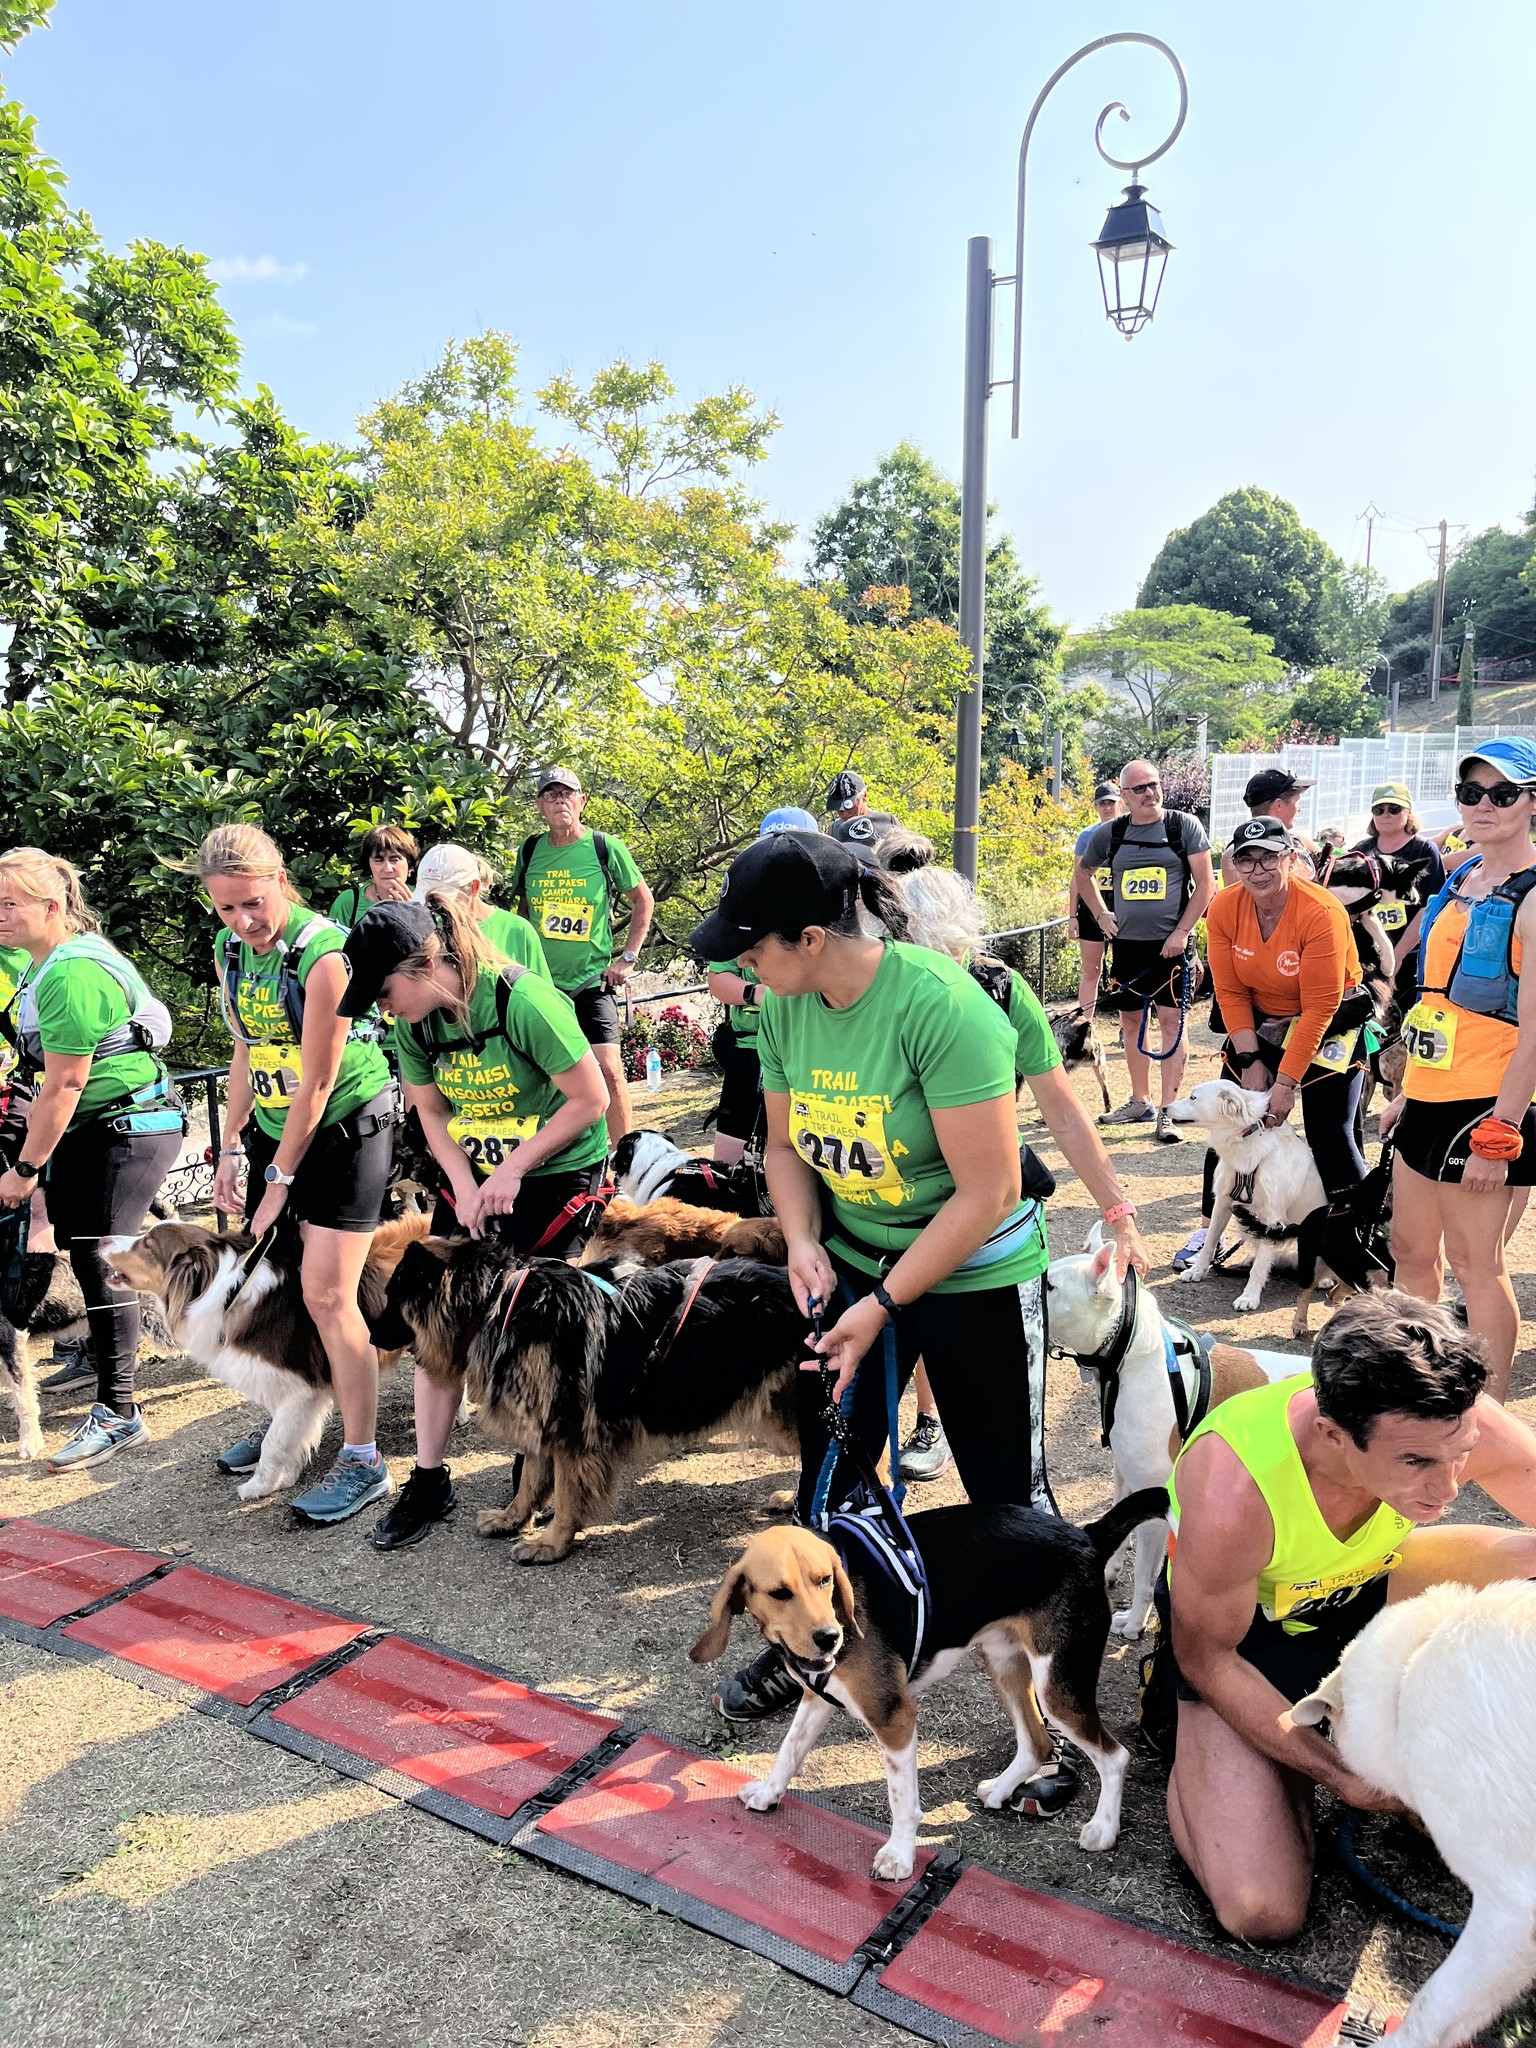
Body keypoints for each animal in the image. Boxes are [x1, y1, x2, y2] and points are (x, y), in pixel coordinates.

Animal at [378, 1228, 811, 1564]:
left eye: (392, 1298)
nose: (371, 1337)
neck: (498, 1300)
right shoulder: (543, 1420)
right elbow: (529, 1479)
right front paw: (511, 1519)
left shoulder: (571, 1433)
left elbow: (567, 1494)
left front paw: (552, 1544)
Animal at [696, 1490, 1163, 1884]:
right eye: (780, 1593)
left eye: (825, 1580)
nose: (830, 1637)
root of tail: (1087, 1536)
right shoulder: (817, 1697)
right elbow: (789, 1751)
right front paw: (769, 1793)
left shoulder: (894, 1716)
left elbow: (902, 1799)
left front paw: (899, 1856)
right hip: (1004, 1666)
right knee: (1037, 1742)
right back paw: (1001, 1789)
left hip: (1057, 1688)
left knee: (1114, 1756)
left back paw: (1103, 1829)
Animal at [1048, 1220, 1302, 1638]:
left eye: (1050, 1285)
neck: (1130, 1356)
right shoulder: (1125, 1475)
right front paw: (1110, 1569)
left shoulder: (1156, 1508)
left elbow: (1143, 1579)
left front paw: (1134, 1622)